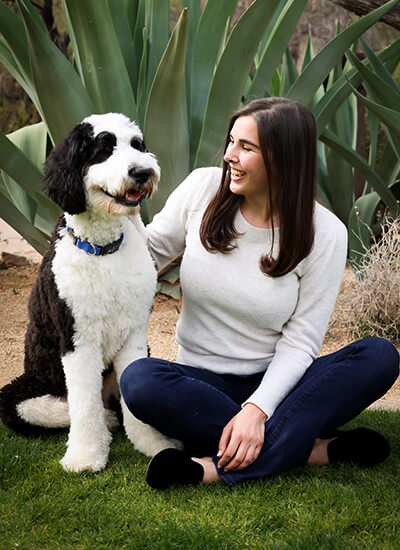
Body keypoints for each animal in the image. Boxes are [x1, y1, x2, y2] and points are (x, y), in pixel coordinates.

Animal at [0, 113, 180, 474]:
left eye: (137, 145)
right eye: (103, 148)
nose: (142, 172)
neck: (103, 250)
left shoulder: (134, 332)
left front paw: (153, 444)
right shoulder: (78, 338)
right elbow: (83, 403)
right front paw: (86, 456)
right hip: (18, 395)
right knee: (65, 408)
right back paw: (105, 423)